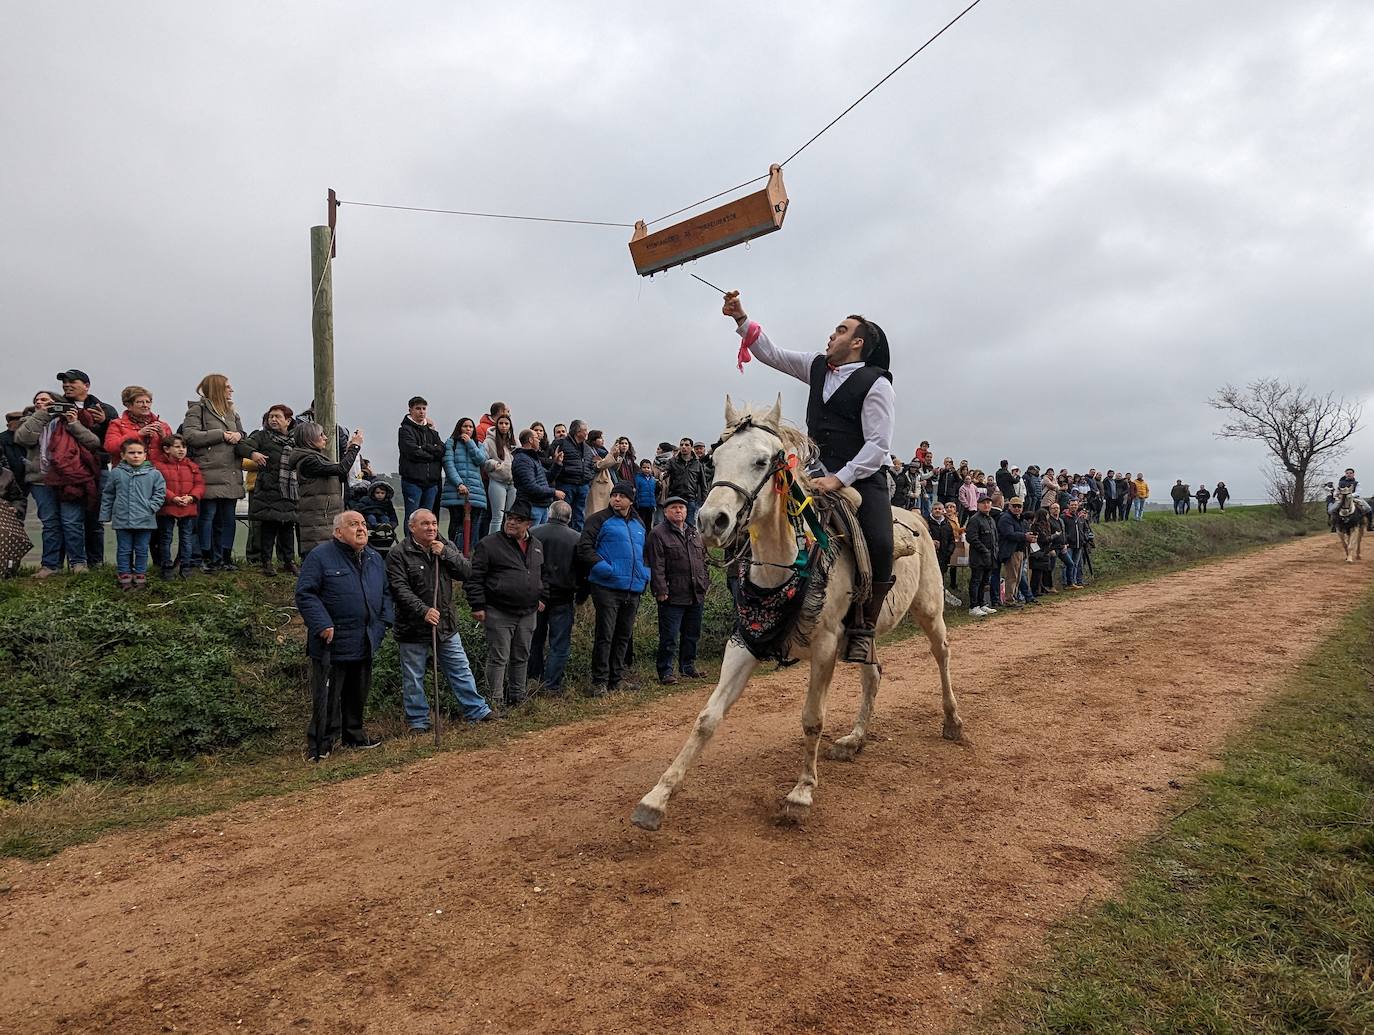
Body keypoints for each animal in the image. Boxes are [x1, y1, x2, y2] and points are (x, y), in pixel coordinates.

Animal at [629, 395, 961, 830]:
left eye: (761, 461)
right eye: (714, 460)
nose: (711, 521)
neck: (786, 566)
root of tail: (919, 516)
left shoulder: (824, 647)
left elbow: (812, 718)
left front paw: (801, 793)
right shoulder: (745, 642)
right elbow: (707, 718)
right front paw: (656, 798)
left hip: (929, 610)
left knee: (941, 655)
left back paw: (952, 721)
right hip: (865, 633)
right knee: (873, 675)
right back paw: (854, 739)